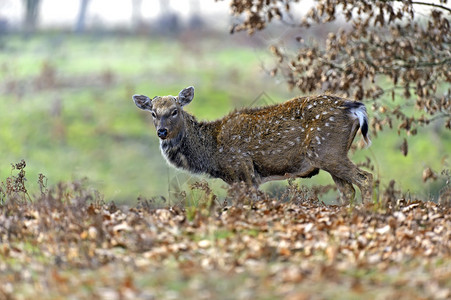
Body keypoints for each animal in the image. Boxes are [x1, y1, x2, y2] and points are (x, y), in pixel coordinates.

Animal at [132, 86, 374, 204]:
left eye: (174, 111)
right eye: (153, 113)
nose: (162, 132)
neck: (212, 151)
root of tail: (354, 108)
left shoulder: (243, 169)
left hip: (327, 151)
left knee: (365, 179)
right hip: (330, 155)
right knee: (348, 190)